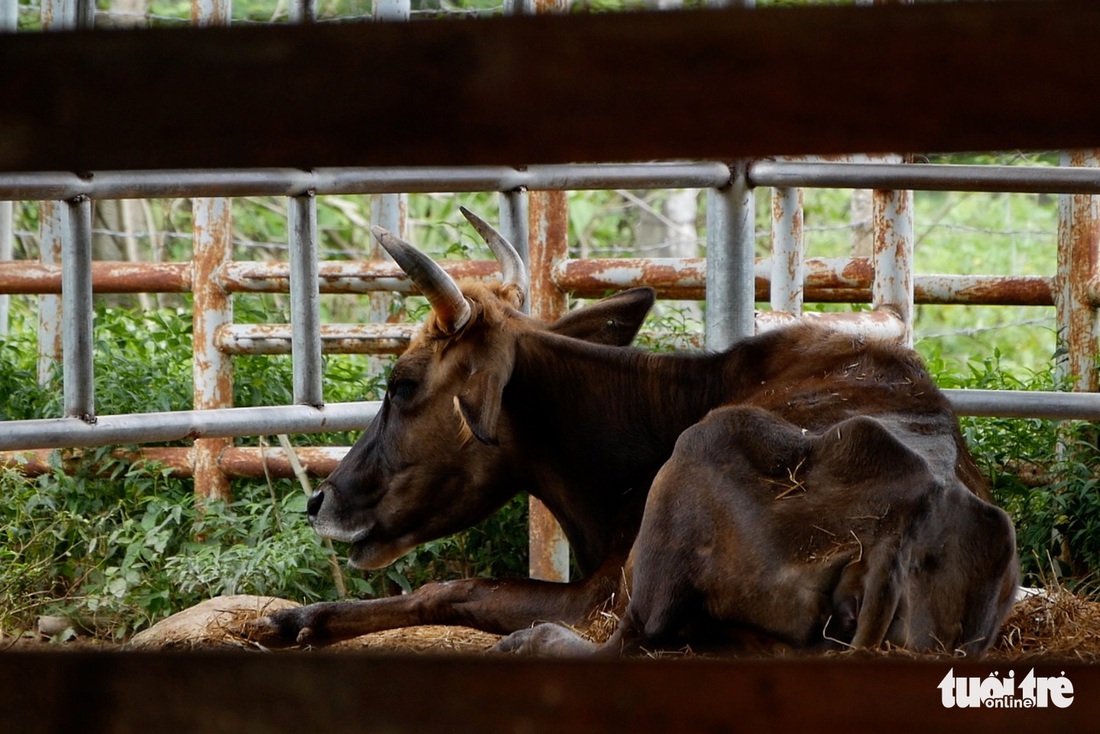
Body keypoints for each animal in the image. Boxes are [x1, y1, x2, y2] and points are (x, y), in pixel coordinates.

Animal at [253, 209, 1016, 655]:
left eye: (402, 384)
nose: (322, 502)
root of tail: (907, 526)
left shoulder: (595, 592)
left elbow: (453, 589)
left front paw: (300, 619)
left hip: (663, 534)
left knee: (620, 643)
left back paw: (529, 641)